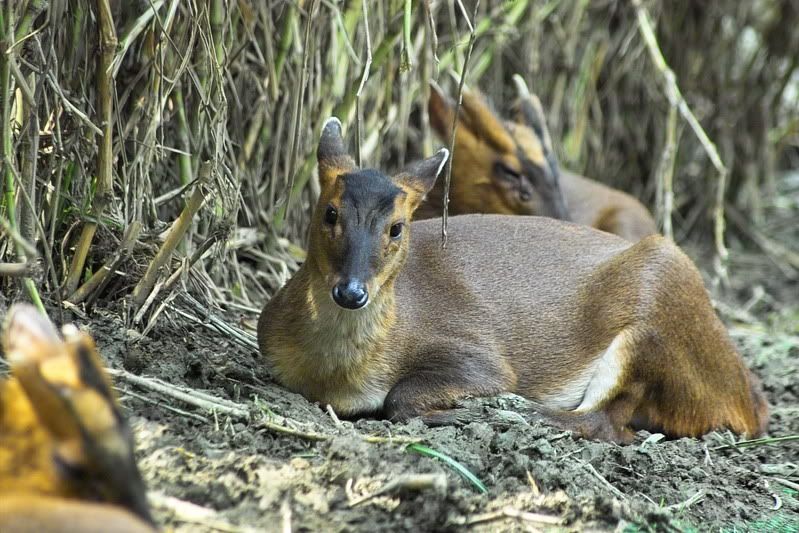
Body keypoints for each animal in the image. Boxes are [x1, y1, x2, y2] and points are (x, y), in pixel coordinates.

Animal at [257, 117, 767, 443]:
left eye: (397, 227)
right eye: (330, 212)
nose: (351, 291)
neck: (335, 377)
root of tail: (746, 400)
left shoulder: (478, 356)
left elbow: (403, 397)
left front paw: (463, 410)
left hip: (659, 300)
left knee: (605, 422)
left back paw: (512, 412)